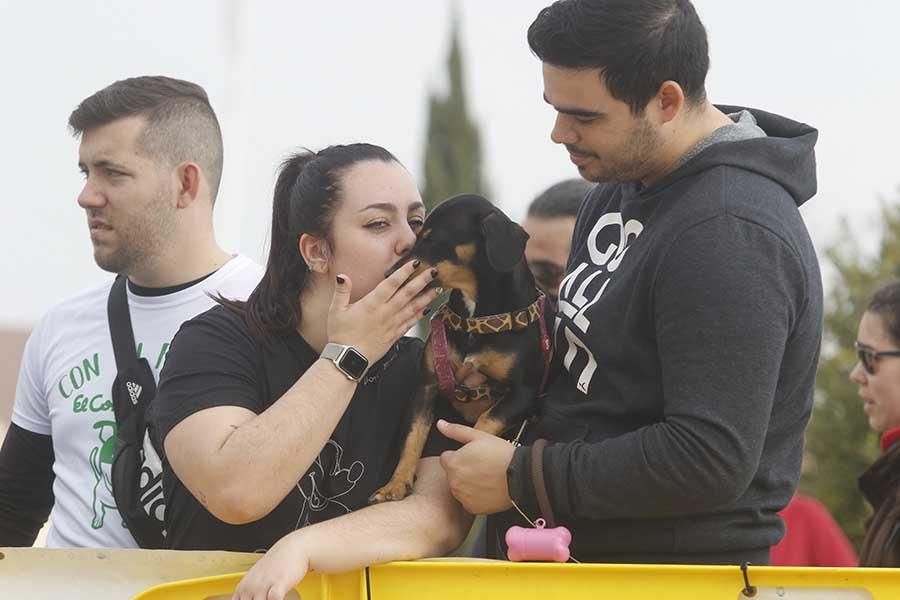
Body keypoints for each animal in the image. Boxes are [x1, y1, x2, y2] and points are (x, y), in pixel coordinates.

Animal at [370, 195, 552, 504]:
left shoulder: (524, 394)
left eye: (433, 239)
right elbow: (413, 437)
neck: (476, 318)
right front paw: (395, 486)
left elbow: (485, 420)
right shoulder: (427, 386)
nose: (388, 274)